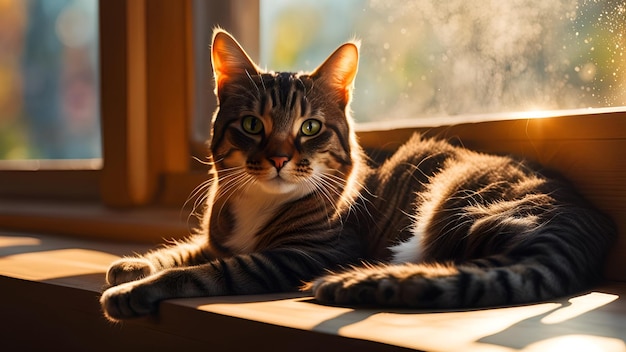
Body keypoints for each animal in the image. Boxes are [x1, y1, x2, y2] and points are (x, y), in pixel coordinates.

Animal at [100, 29, 612, 322]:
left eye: (310, 128)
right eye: (251, 125)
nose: (279, 158)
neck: (259, 201)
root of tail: (583, 224)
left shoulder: (306, 253)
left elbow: (211, 270)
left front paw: (135, 288)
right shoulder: (217, 235)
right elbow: (187, 250)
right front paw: (134, 264)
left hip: (464, 207)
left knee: (469, 269)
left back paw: (356, 281)